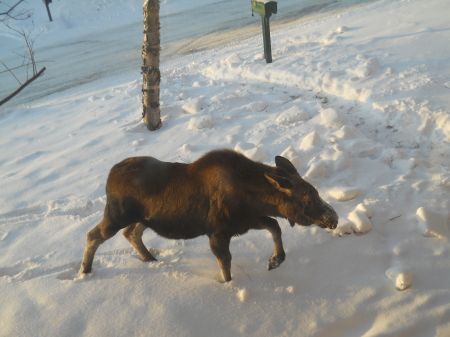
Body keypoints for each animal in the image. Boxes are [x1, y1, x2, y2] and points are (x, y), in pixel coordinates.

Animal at [79, 149, 338, 280]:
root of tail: (109, 176)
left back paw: (150, 258)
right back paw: (85, 270)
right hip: (116, 215)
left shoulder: (248, 221)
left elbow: (275, 226)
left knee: (131, 233)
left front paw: (275, 260)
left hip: (145, 219)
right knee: (93, 235)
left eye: (316, 191)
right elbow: (226, 264)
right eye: (307, 199)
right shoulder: (218, 232)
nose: (333, 218)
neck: (256, 199)